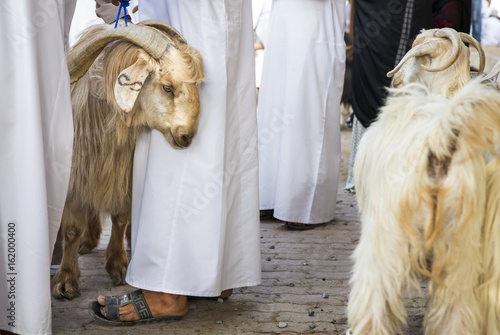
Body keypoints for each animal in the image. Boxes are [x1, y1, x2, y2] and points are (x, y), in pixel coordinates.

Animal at [51, 21, 204, 300]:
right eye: (167, 87)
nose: (187, 136)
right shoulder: (75, 179)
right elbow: (71, 229)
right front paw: (66, 281)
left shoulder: (123, 175)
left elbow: (120, 217)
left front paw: (118, 266)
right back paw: (88, 241)